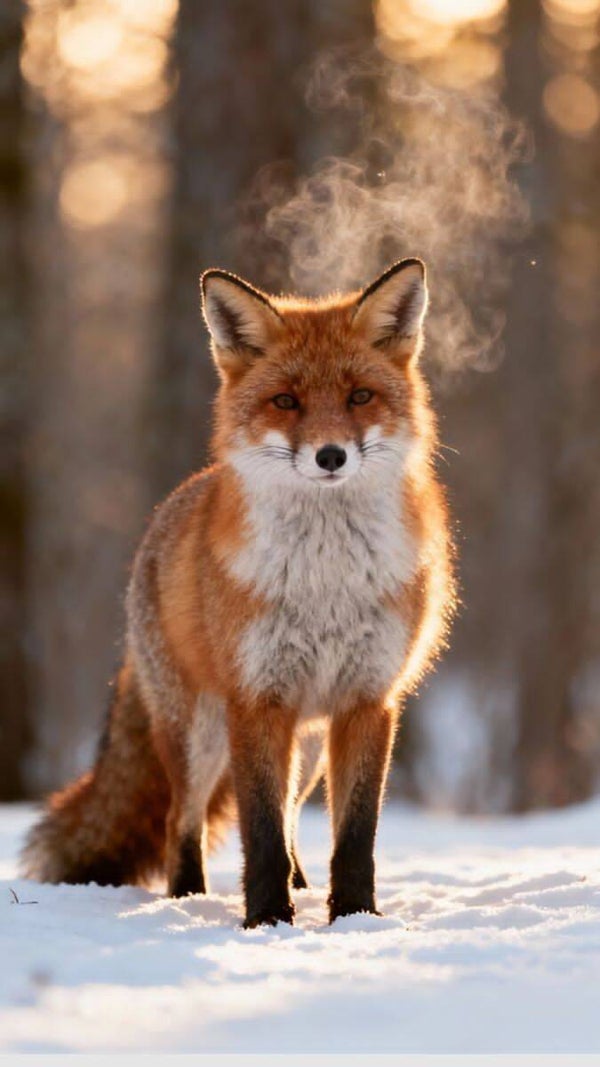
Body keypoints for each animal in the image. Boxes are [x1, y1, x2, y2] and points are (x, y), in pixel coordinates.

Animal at [22, 257, 455, 928]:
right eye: (286, 401)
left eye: (359, 396)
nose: (331, 456)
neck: (325, 581)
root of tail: (162, 516)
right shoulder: (256, 699)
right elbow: (259, 831)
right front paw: (267, 920)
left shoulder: (368, 699)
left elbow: (354, 836)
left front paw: (355, 918)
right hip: (199, 734)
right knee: (182, 819)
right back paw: (187, 897)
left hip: (307, 744)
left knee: (294, 816)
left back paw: (303, 885)